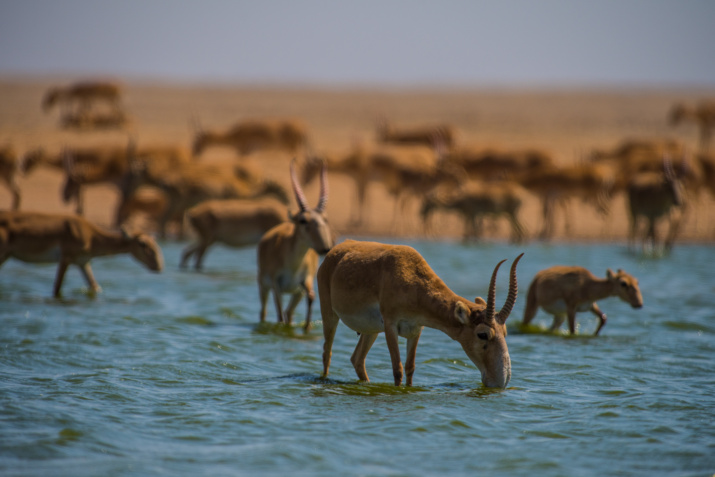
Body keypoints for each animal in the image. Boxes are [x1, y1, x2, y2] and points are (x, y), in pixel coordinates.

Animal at [0, 210, 164, 296]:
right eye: (143, 244)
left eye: (156, 244)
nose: (159, 266)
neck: (91, 237)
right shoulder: (65, 258)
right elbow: (57, 288)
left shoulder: (83, 262)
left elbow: (95, 287)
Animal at [258, 158, 336, 330]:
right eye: (303, 220)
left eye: (325, 219)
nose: (325, 248)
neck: (293, 264)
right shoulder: (276, 285)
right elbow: (279, 314)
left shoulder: (304, 282)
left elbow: (311, 297)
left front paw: (306, 328)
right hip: (263, 286)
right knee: (266, 312)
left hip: (296, 293)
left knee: (289, 313)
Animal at [316, 240, 524, 388]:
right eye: (482, 334)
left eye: (505, 332)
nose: (502, 380)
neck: (410, 275)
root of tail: (335, 252)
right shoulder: (390, 326)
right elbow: (398, 368)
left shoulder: (416, 330)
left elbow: (410, 367)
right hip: (329, 314)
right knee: (327, 352)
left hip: (371, 331)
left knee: (357, 359)